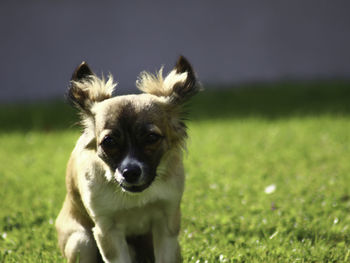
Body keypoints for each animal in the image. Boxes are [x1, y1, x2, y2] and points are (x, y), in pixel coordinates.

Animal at [55, 56, 200, 262]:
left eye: (152, 138)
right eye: (109, 142)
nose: (130, 172)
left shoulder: (167, 224)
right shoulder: (107, 231)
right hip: (81, 242)